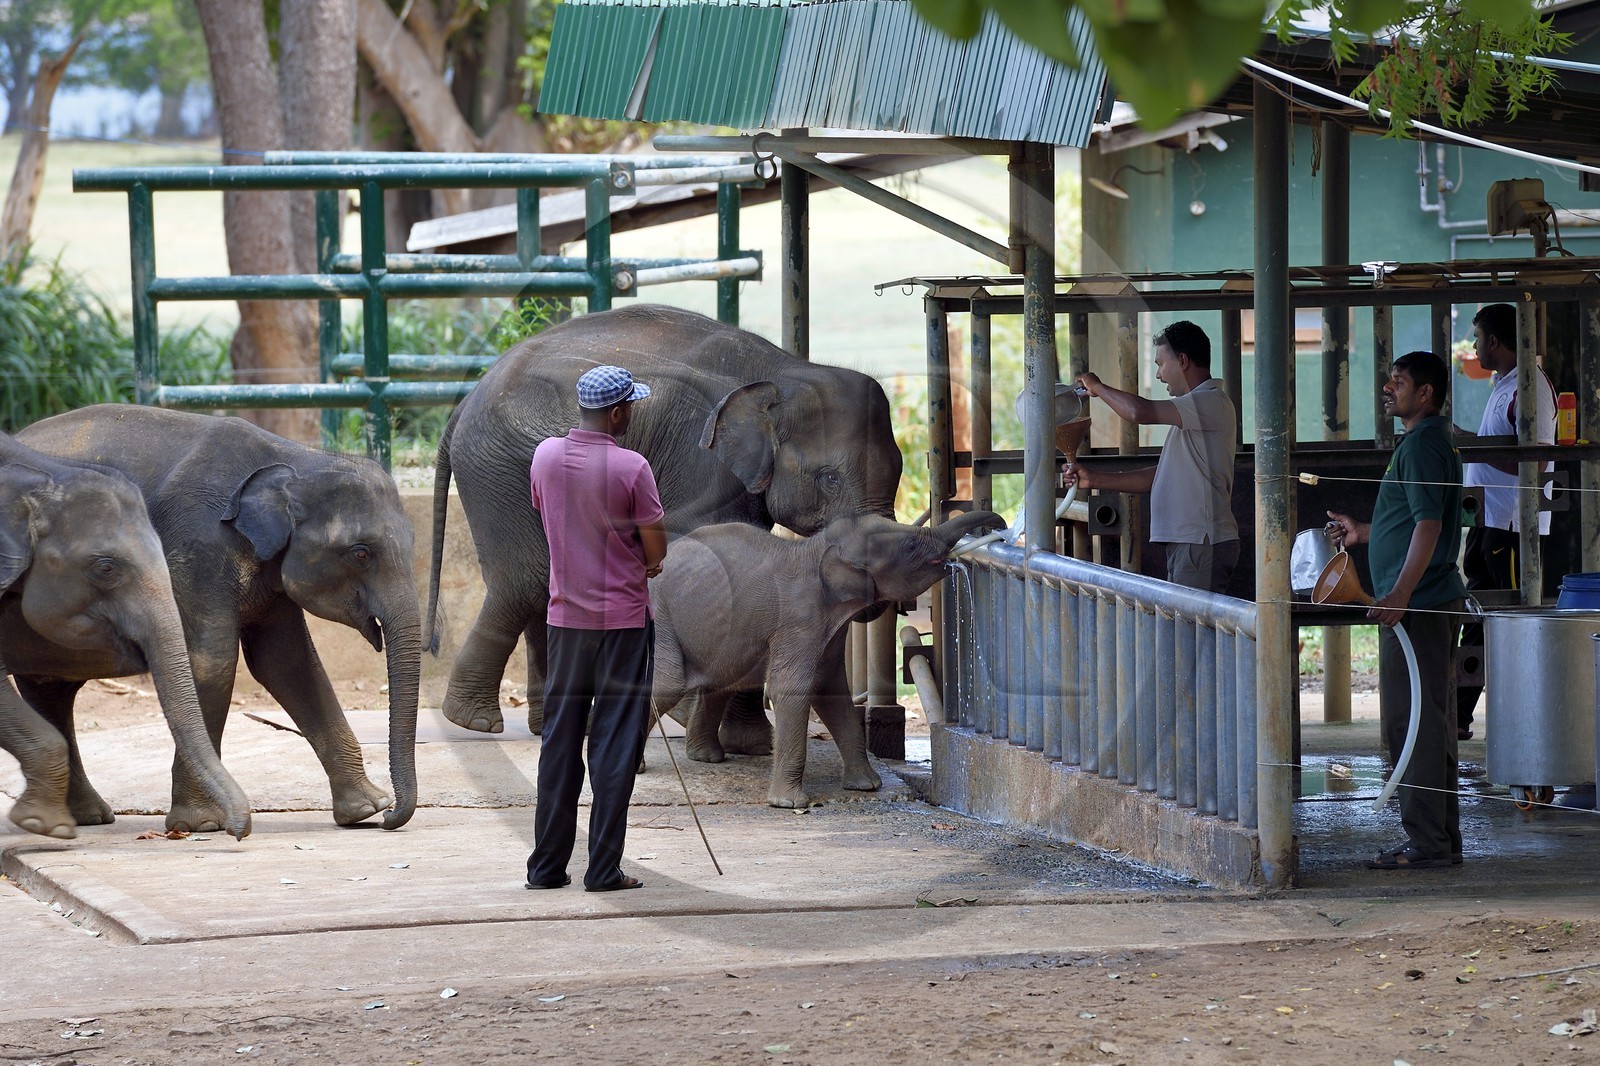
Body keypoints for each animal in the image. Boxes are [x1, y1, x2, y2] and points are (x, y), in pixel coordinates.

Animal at [427, 303, 903, 747]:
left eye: (900, 470)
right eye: (830, 478)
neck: (785, 371)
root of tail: (462, 405)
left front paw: (750, 746)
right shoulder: (699, 459)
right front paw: (708, 724)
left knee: (542, 585)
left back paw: (542, 725)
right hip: (497, 471)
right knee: (526, 582)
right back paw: (474, 721)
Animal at [651, 510, 1003, 808]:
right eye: (911, 545)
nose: (999, 525)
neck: (817, 548)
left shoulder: (831, 629)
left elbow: (831, 692)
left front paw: (868, 786)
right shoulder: (800, 620)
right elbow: (791, 688)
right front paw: (790, 804)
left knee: (720, 681)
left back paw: (706, 758)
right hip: (660, 617)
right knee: (669, 684)